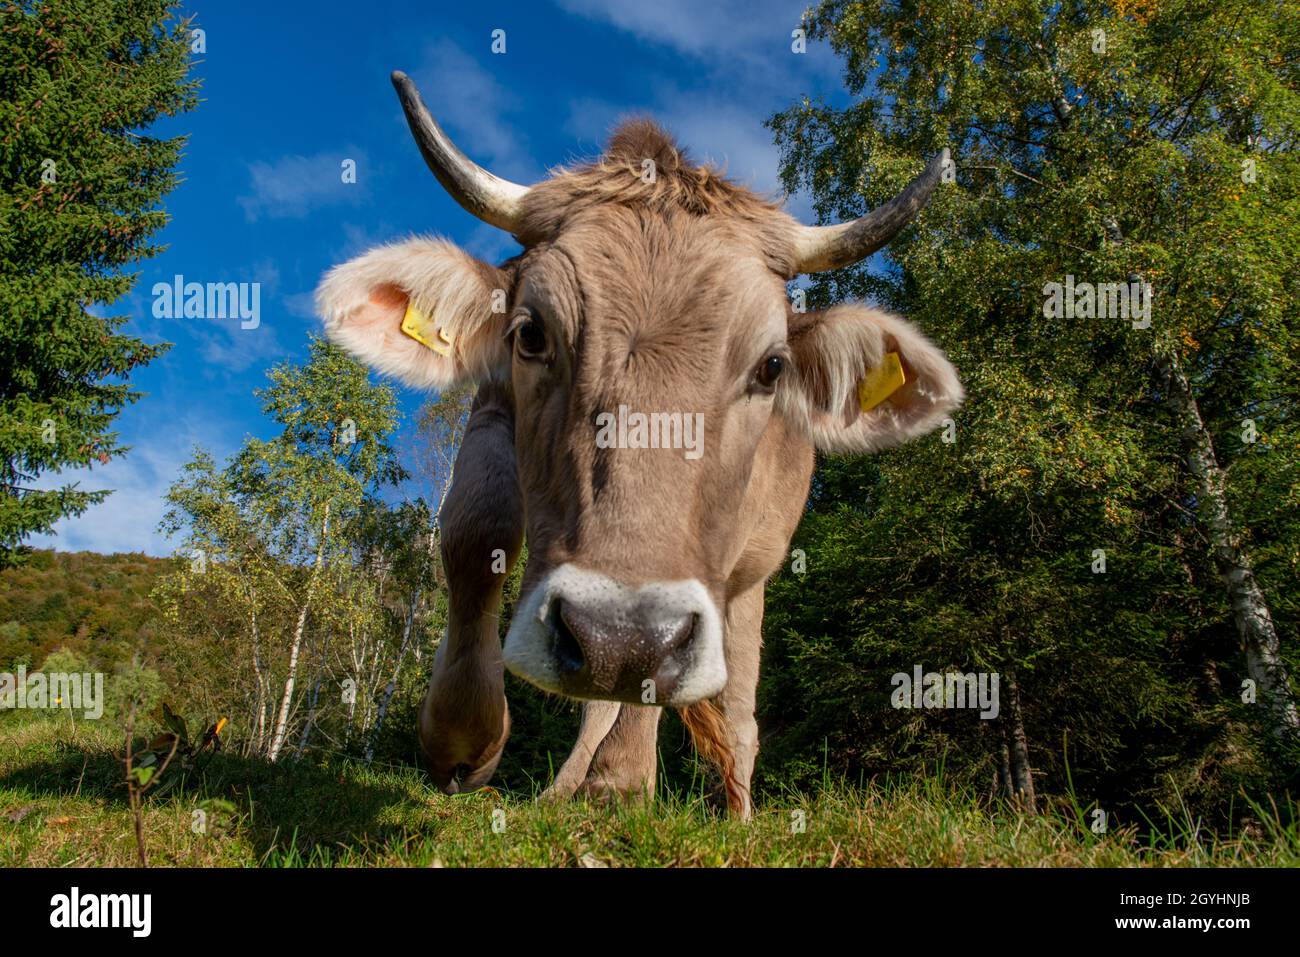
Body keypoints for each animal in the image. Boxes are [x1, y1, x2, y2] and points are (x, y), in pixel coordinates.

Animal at [317, 72, 963, 819]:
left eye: (772, 366)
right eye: (530, 332)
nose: (616, 636)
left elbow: (675, 680)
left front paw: (626, 780)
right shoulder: (491, 407)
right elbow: (475, 530)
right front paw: (462, 735)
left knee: (735, 705)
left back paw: (722, 805)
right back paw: (568, 787)